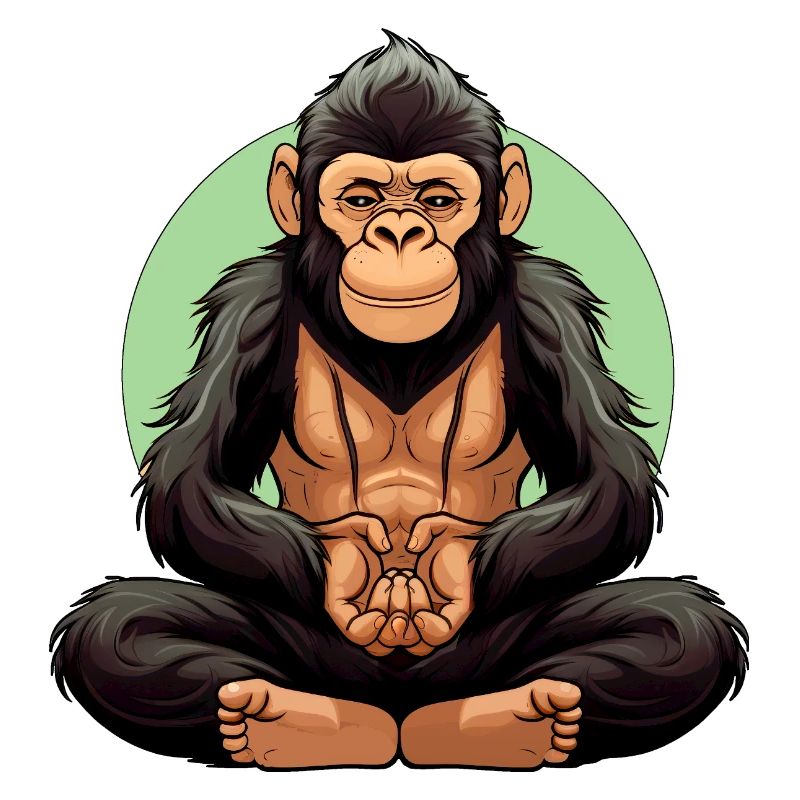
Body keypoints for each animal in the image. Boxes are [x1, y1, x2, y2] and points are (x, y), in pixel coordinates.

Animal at [50, 32, 748, 770]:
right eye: (361, 200)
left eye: (438, 201)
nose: (399, 235)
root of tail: (399, 712)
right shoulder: (250, 309)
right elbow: (188, 481)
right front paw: (349, 562)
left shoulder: (549, 309)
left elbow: (610, 481)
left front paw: (448, 561)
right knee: (119, 625)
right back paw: (288, 716)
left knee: (679, 624)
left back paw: (509, 717)